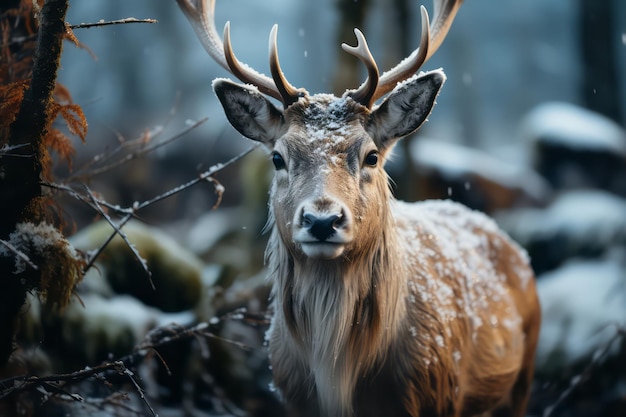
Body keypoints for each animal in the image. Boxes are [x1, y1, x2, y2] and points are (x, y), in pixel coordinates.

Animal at [176, 1, 536, 414]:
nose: (322, 220)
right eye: (278, 158)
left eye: (372, 156)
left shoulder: (439, 391)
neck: (339, 377)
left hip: (524, 370)